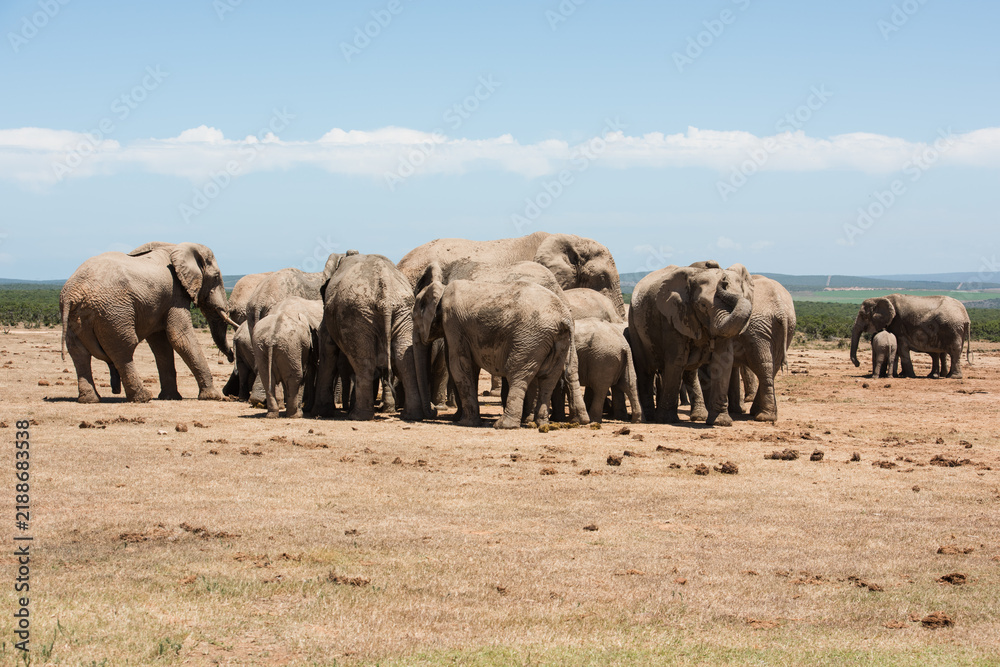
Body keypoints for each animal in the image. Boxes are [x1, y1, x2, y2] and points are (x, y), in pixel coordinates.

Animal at [60, 242, 236, 403]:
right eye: (216, 277)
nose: (231, 357)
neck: (177, 247)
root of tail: (71, 293)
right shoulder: (175, 294)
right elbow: (179, 336)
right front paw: (212, 396)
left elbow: (161, 344)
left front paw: (170, 397)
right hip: (113, 312)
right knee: (123, 349)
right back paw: (142, 397)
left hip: (75, 318)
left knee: (79, 353)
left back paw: (89, 399)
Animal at [317, 252, 427, 421]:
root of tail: (386, 297)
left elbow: (327, 349)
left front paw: (322, 412)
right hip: (404, 312)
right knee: (405, 360)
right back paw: (411, 415)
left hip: (356, 315)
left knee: (364, 362)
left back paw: (358, 416)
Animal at [413, 279, 575, 429]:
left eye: (414, 319)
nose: (434, 411)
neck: (442, 289)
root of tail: (563, 318)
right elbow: (469, 367)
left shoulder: (453, 323)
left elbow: (459, 366)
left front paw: (466, 423)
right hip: (558, 342)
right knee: (548, 379)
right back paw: (540, 424)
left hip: (529, 338)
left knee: (517, 375)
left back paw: (504, 425)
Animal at [628, 261, 754, 426]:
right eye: (702, 305)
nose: (723, 281)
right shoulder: (672, 318)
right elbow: (676, 361)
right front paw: (667, 420)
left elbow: (722, 360)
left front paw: (720, 422)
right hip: (634, 324)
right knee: (645, 370)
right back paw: (649, 417)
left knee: (690, 372)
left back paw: (699, 416)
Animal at [725, 276, 796, 422]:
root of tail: (781, 310)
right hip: (782, 328)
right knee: (771, 366)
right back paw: (761, 413)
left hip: (757, 328)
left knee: (763, 365)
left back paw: (763, 416)